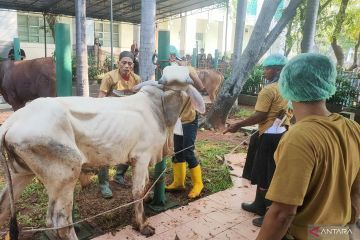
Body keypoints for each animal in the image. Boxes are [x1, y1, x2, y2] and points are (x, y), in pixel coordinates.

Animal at [0, 66, 205, 240]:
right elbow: (137, 190)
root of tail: (12, 121)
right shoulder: (141, 157)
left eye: (185, 79)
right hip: (65, 175)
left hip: (22, 173)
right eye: (165, 78)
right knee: (60, 222)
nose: (174, 83)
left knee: (4, 207)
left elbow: (146, 184)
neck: (158, 109)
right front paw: (141, 225)